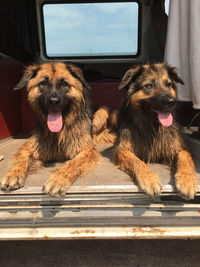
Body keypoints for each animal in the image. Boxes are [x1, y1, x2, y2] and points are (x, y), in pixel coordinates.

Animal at [0, 62, 100, 197]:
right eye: (43, 83)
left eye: (64, 84)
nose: (53, 101)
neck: (58, 133)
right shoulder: (29, 146)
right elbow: (21, 158)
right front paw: (13, 175)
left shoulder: (87, 150)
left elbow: (72, 163)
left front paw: (58, 179)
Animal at [112, 63, 197, 200]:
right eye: (148, 86)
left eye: (168, 84)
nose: (172, 102)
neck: (152, 125)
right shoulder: (122, 150)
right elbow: (137, 161)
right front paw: (149, 179)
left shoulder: (181, 147)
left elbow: (185, 157)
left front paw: (186, 181)